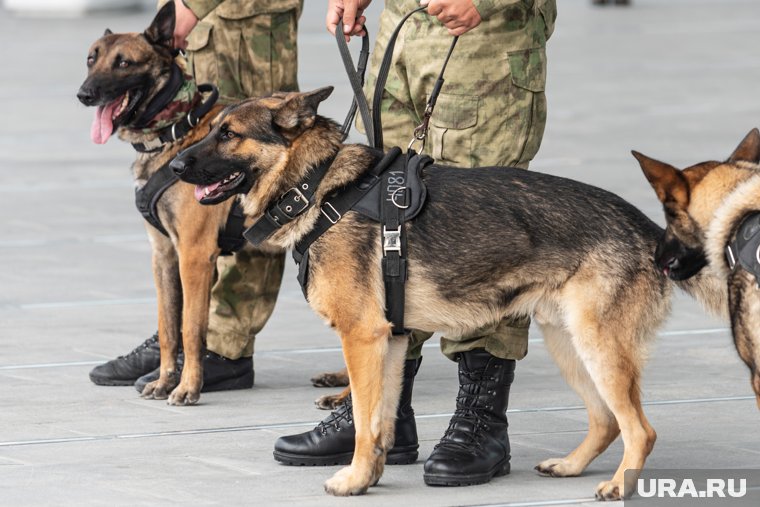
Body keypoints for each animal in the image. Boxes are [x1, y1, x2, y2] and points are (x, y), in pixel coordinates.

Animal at [172, 88, 732, 500]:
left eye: (228, 134)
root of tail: (647, 228)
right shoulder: (391, 342)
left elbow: (363, 422)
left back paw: (619, 486)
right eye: (212, 128)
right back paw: (572, 467)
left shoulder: (362, 338)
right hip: (568, 344)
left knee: (639, 429)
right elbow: (379, 422)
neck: (318, 185)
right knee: (605, 420)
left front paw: (352, 480)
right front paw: (370, 477)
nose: (175, 167)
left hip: (598, 348)